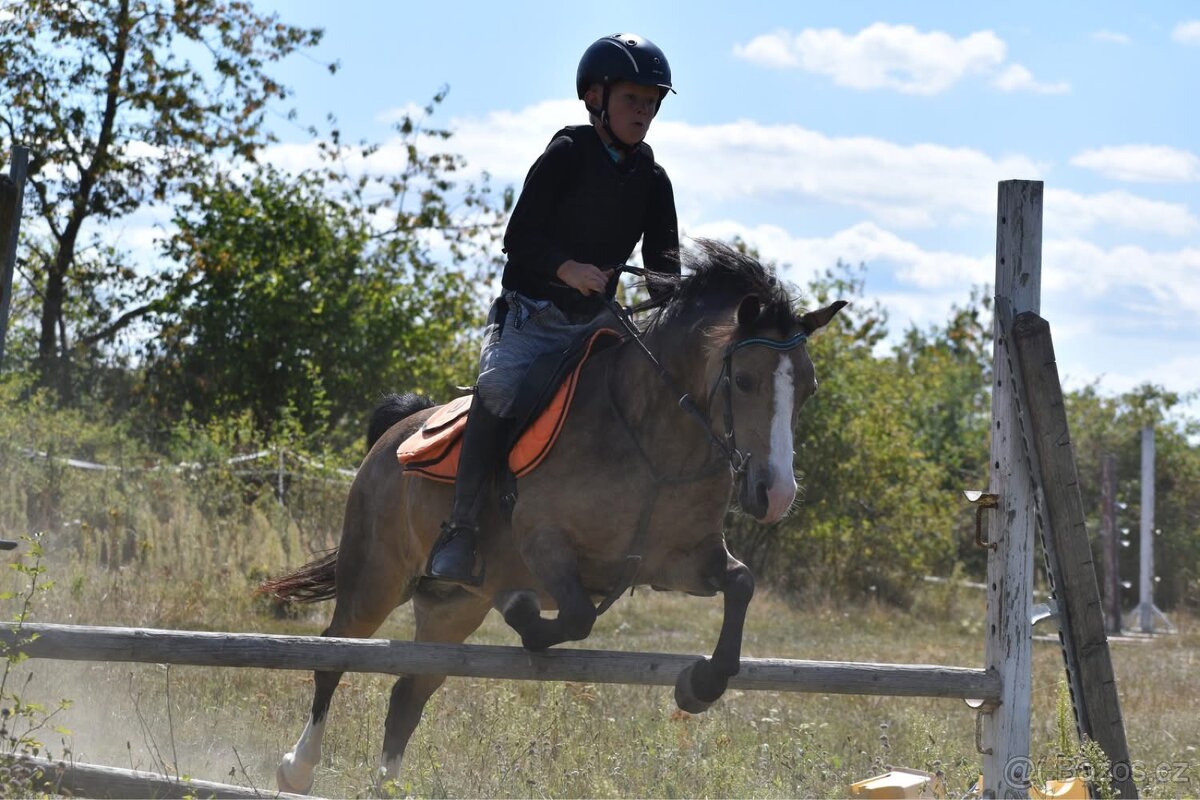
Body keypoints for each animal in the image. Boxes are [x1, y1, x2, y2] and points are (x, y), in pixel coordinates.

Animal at [262, 239, 845, 794]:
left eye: (809, 387)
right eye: (744, 380)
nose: (775, 494)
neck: (655, 444)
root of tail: (395, 433)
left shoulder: (682, 562)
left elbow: (741, 584)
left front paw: (701, 685)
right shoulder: (544, 543)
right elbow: (577, 615)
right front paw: (523, 613)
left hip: (453, 608)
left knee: (408, 692)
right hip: (376, 578)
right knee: (333, 656)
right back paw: (296, 768)